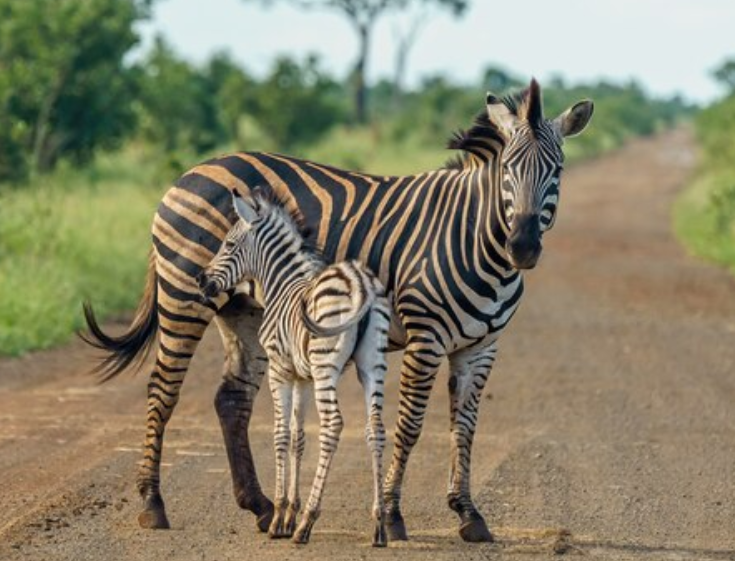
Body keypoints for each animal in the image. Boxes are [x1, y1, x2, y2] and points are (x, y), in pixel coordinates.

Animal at [196, 189, 392, 548]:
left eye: (228, 245)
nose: (200, 280)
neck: (282, 284)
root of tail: (360, 281)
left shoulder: (279, 369)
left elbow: (280, 435)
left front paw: (280, 519)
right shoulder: (302, 376)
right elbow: (298, 436)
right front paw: (289, 512)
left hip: (327, 364)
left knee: (333, 425)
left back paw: (307, 523)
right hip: (373, 364)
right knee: (376, 428)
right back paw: (379, 526)